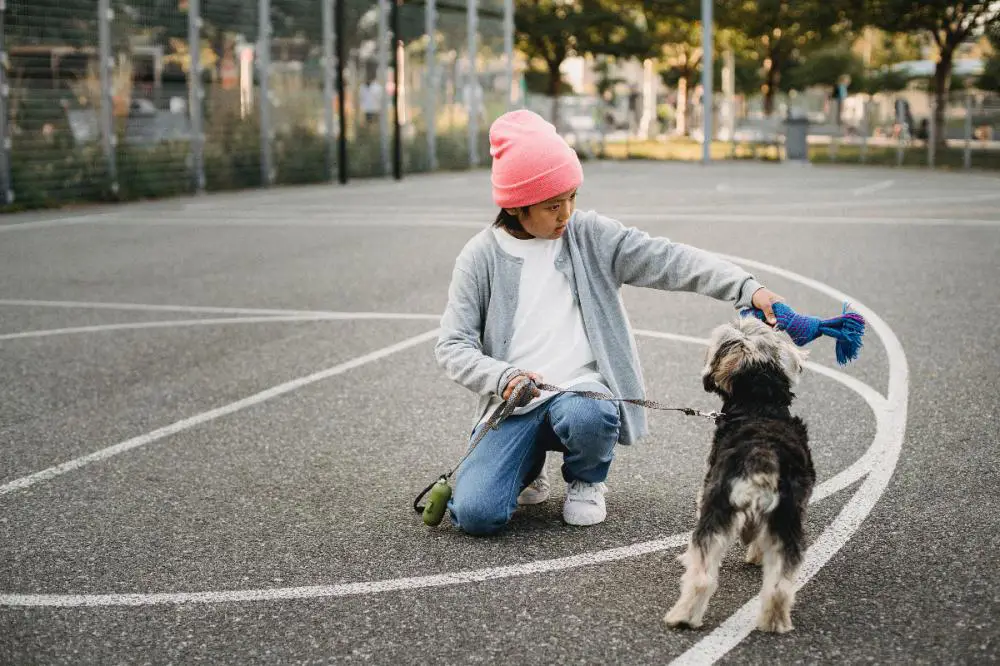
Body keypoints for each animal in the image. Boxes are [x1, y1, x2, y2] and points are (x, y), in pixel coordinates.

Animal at [664, 318, 812, 632]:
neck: (760, 405)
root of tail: (762, 456)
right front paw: (756, 555)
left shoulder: (706, 493)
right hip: (787, 519)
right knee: (781, 583)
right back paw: (774, 621)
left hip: (717, 509)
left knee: (702, 575)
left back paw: (682, 616)